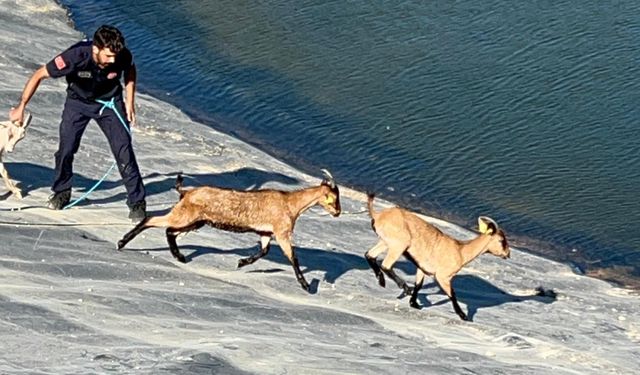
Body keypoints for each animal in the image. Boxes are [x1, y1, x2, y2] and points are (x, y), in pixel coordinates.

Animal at [117, 170, 342, 290]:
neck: (290, 203)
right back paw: (121, 243)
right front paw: (306, 285)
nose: (338, 212)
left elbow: (264, 251)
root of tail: (186, 192)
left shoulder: (266, 233)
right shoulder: (281, 232)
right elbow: (293, 258)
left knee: (170, 231)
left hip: (195, 220)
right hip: (185, 215)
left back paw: (179, 256)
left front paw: (242, 262)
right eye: (333, 198)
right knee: (153, 220)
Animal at [364, 195, 510, 322]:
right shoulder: (443, 276)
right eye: (501, 240)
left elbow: (419, 285)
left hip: (385, 242)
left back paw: (382, 280)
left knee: (369, 254)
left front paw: (414, 303)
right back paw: (403, 287)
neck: (461, 251)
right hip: (399, 244)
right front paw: (463, 316)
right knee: (386, 265)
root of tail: (377, 215)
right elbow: (452, 294)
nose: (507, 254)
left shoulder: (422, 267)